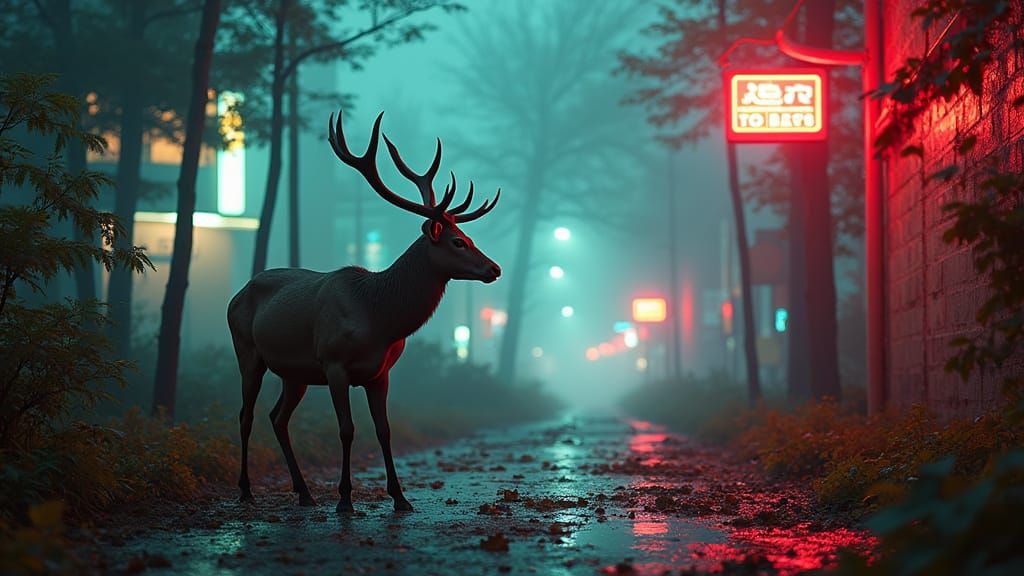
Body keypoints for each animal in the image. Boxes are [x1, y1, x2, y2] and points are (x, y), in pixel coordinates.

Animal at [227, 110, 501, 513]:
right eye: (457, 242)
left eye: (471, 238)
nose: (494, 269)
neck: (379, 318)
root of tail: (237, 295)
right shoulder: (334, 363)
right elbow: (347, 429)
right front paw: (345, 499)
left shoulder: (380, 372)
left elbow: (384, 430)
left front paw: (401, 497)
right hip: (247, 351)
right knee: (246, 415)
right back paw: (246, 489)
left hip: (295, 373)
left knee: (277, 418)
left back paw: (304, 492)